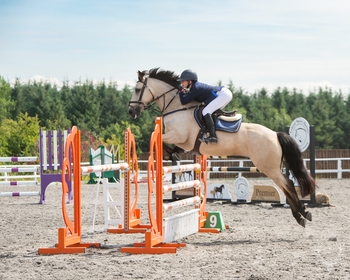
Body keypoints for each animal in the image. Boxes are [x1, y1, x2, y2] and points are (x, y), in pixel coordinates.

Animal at [129, 68, 318, 228]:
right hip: (272, 167)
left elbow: (158, 141)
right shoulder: (184, 143)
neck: (178, 107)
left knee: (288, 184)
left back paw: (302, 213)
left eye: (137, 89)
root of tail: (275, 134)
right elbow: (171, 147)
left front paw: (171, 155)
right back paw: (301, 215)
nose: (131, 112)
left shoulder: (179, 136)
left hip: (268, 167)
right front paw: (173, 155)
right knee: (287, 186)